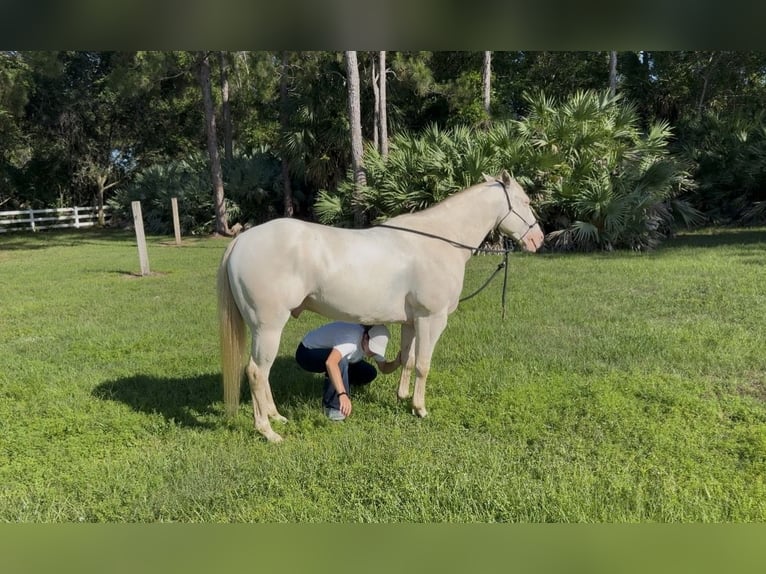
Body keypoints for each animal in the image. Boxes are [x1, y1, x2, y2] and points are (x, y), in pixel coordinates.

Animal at [217, 170, 544, 442]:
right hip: (268, 327)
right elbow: (424, 364)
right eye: (526, 201)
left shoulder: (412, 321)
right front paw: (420, 408)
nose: (538, 239)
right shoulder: (432, 319)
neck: (440, 241)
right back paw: (268, 431)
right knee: (257, 372)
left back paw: (276, 416)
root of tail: (241, 241)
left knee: (262, 372)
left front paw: (402, 397)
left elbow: (408, 360)